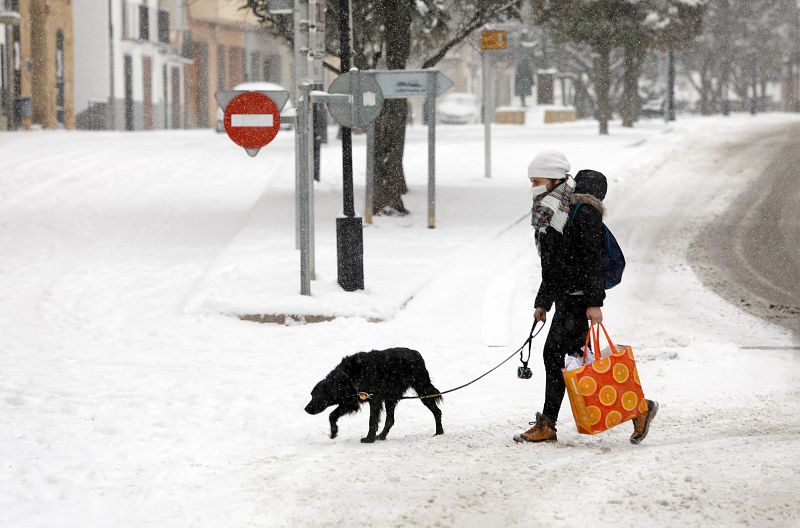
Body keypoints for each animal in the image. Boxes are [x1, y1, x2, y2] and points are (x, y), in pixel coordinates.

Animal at [304, 346, 444, 442]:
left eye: (318, 396)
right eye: (311, 395)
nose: (306, 409)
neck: (348, 377)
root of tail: (416, 353)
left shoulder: (373, 400)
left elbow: (372, 420)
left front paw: (369, 438)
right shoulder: (351, 401)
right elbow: (332, 415)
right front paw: (334, 432)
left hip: (423, 390)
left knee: (437, 411)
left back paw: (439, 432)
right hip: (390, 399)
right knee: (390, 420)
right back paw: (381, 436)